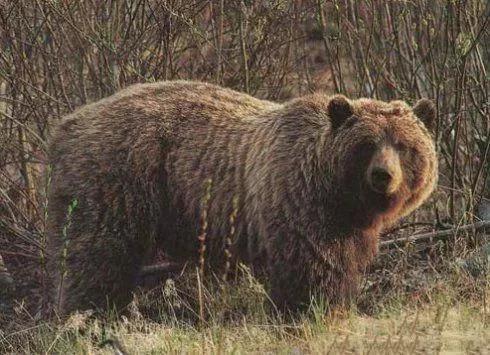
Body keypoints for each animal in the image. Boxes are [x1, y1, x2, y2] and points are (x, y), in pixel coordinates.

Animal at [45, 79, 436, 316]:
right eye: (366, 144)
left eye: (403, 145)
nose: (383, 176)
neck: (341, 197)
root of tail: (65, 125)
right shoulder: (298, 203)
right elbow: (310, 269)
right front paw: (313, 309)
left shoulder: (350, 227)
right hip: (118, 178)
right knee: (98, 254)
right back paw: (90, 313)